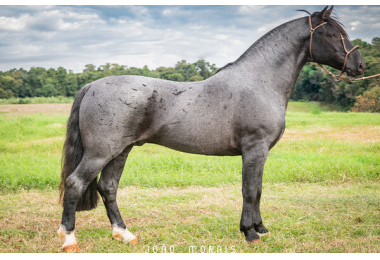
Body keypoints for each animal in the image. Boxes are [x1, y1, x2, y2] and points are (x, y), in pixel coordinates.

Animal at [57, 5, 366, 250]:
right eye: (332, 34)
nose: (360, 65)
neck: (260, 82)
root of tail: (92, 85)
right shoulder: (255, 148)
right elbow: (249, 190)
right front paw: (250, 233)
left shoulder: (260, 152)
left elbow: (258, 189)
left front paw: (261, 228)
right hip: (100, 152)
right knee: (75, 183)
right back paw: (69, 238)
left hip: (120, 150)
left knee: (108, 188)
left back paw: (124, 234)